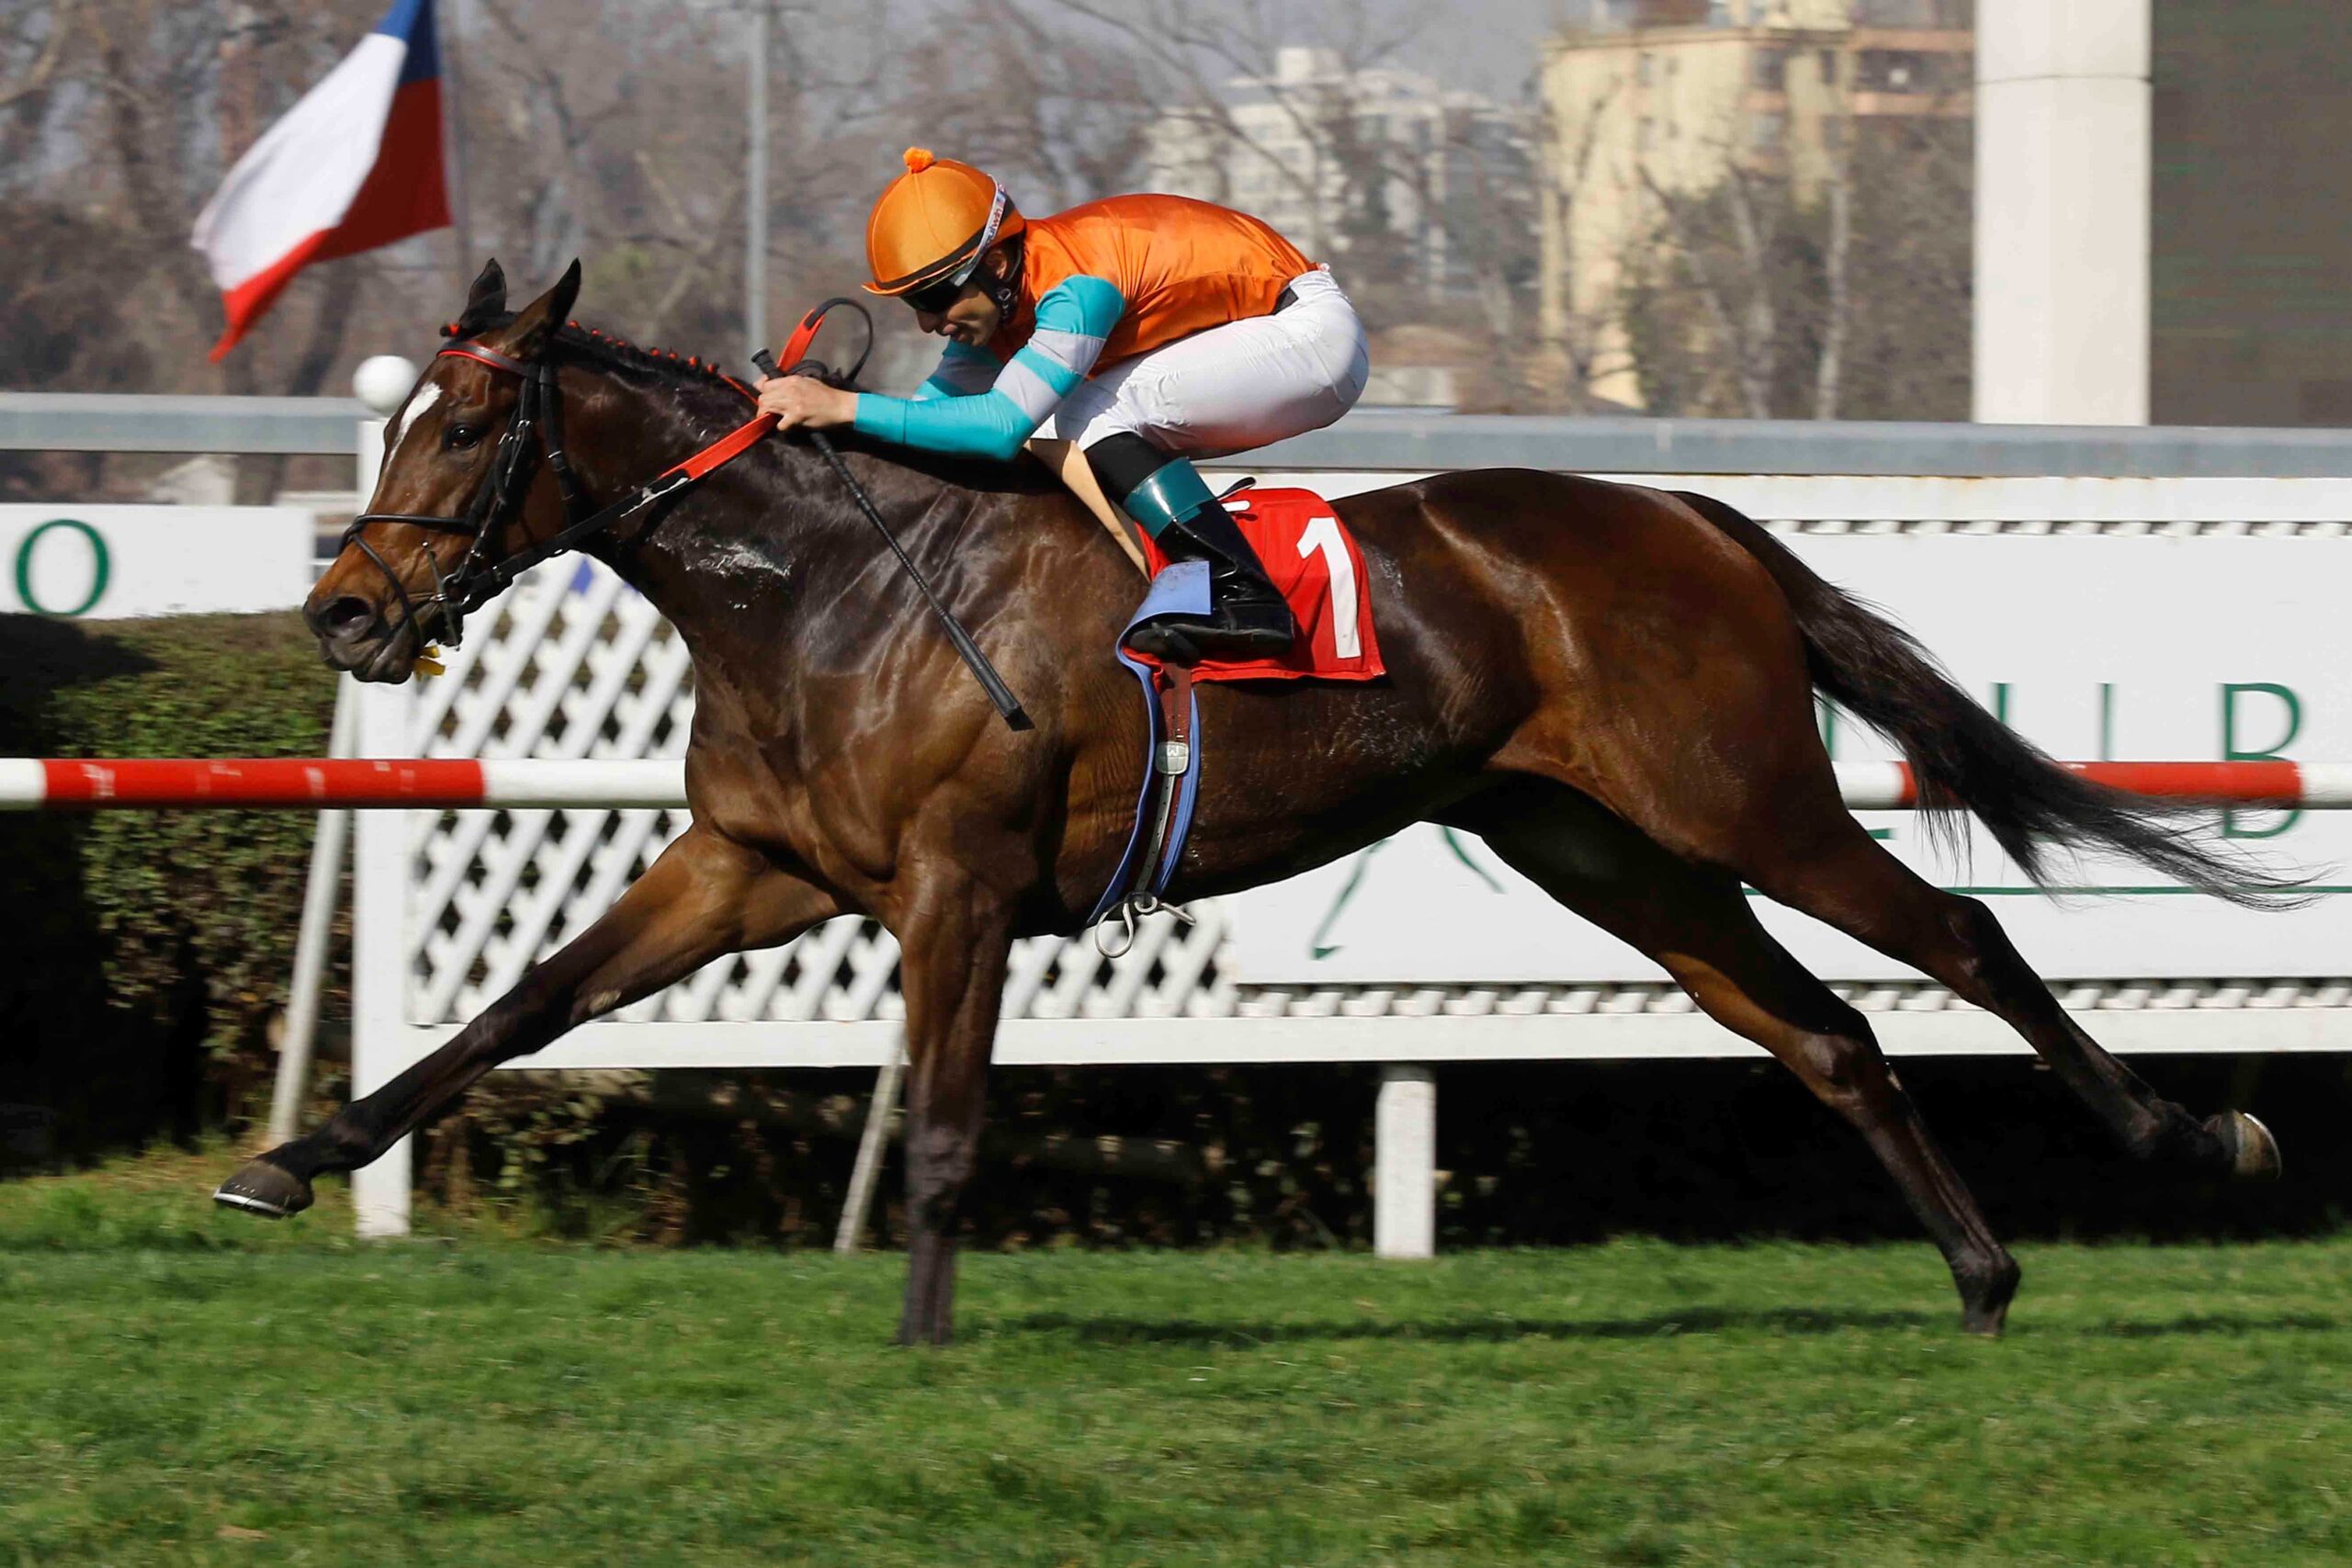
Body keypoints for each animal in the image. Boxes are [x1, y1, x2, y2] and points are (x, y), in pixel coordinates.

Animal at [218, 260, 2285, 1344]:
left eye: (463, 428)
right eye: (398, 420)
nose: (345, 610)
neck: (820, 586)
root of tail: (1689, 516)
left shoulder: (957, 886)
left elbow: (948, 1124)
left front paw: (921, 1337)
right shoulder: (750, 862)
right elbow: (519, 1004)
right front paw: (294, 1158)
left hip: (1741, 803)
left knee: (1961, 932)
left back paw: (2184, 1136)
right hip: (1610, 853)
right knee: (1832, 1033)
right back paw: (1981, 1271)